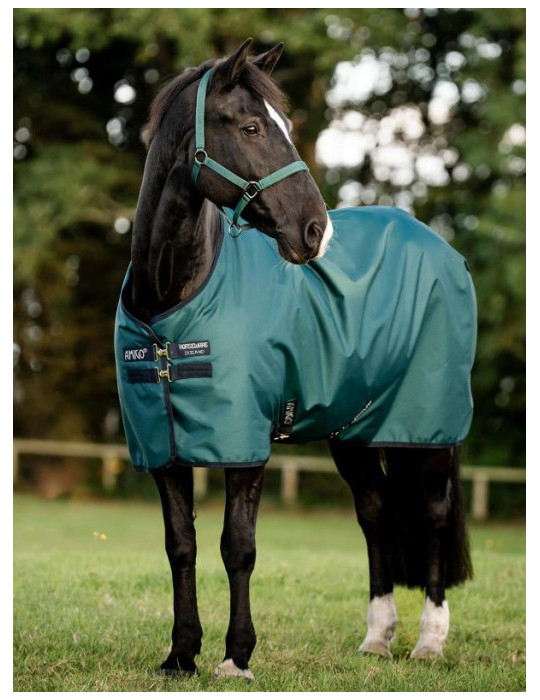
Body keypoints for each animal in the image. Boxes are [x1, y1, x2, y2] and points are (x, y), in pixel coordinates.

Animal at [114, 39, 475, 680]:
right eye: (252, 126)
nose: (315, 232)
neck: (171, 303)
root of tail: (441, 247)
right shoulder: (163, 447)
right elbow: (181, 545)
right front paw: (181, 655)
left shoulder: (245, 443)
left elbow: (238, 546)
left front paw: (236, 657)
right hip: (354, 432)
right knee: (375, 512)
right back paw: (377, 638)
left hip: (429, 428)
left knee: (432, 514)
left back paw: (429, 641)